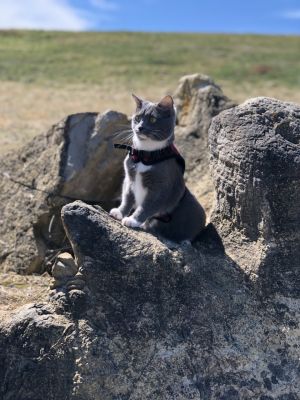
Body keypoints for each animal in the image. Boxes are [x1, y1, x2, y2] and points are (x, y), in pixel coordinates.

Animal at [110, 94, 206, 242]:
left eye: (153, 119)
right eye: (137, 118)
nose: (140, 127)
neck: (145, 154)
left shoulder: (160, 187)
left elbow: (147, 205)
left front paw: (133, 220)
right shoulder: (129, 179)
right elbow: (127, 197)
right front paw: (119, 212)